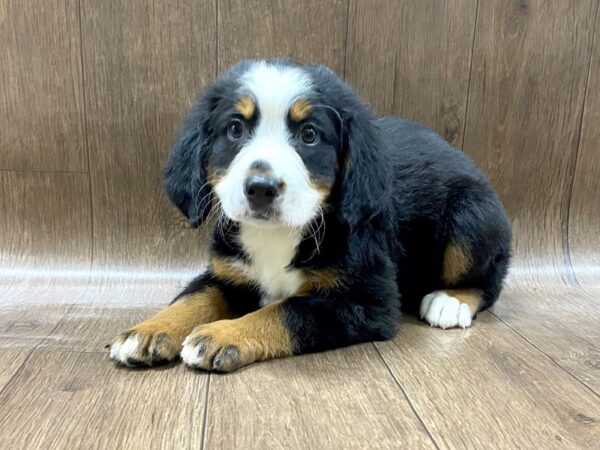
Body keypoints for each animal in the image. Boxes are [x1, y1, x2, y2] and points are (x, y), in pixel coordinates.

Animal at [109, 59, 510, 370]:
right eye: (235, 129)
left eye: (310, 135)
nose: (261, 188)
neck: (277, 234)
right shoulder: (229, 272)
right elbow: (195, 297)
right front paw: (148, 330)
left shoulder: (367, 299)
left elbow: (286, 311)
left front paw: (222, 334)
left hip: (472, 221)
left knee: (489, 280)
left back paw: (450, 301)